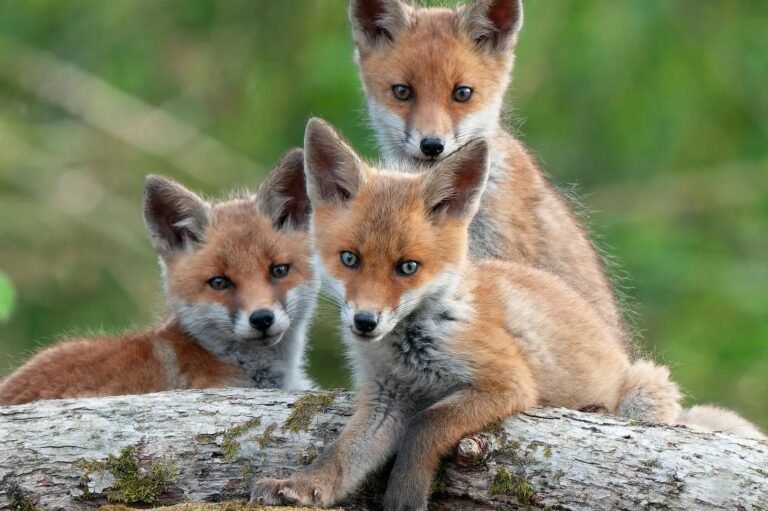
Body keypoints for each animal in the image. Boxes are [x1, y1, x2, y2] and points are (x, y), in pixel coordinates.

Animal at [251, 120, 764, 511]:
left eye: (408, 267)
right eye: (350, 259)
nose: (364, 323)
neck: (411, 350)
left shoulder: (506, 383)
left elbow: (425, 427)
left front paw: (405, 495)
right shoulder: (385, 398)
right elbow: (340, 457)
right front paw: (302, 486)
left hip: (645, 390)